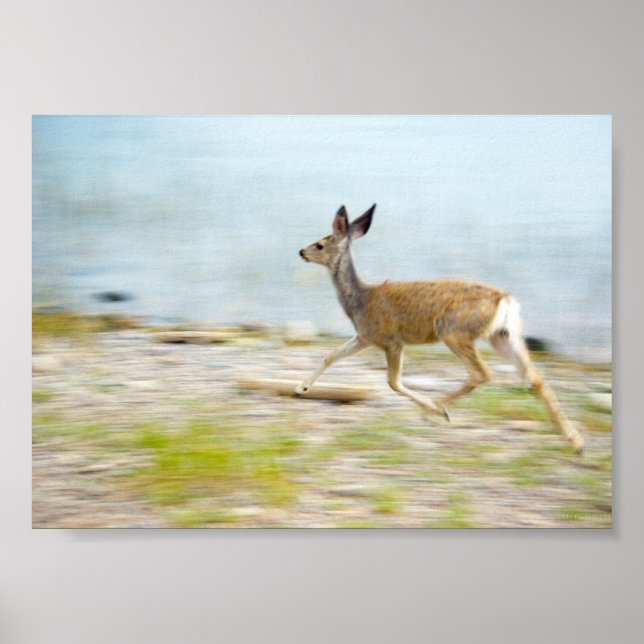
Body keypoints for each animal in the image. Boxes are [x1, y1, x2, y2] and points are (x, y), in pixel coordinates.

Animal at [296, 204, 584, 454]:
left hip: (455, 332)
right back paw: (575, 441)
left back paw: (436, 410)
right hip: (503, 335)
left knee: (482, 373)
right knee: (534, 377)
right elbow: (332, 354)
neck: (360, 299)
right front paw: (301, 388)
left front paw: (435, 411)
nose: (301, 251)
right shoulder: (365, 336)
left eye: (320, 244)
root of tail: (506, 300)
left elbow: (393, 382)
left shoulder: (390, 339)